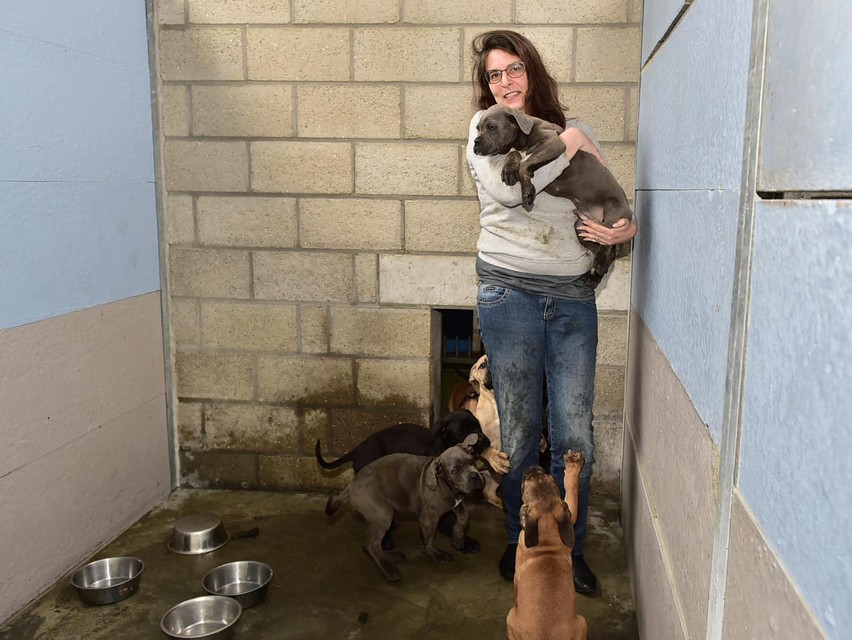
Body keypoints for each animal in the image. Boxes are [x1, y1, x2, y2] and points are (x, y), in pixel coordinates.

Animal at [324, 436, 486, 580]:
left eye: (473, 462)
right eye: (455, 471)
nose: (474, 476)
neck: (445, 484)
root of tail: (350, 486)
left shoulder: (456, 504)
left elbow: (464, 517)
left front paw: (458, 539)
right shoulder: (428, 520)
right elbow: (429, 541)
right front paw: (436, 555)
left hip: (374, 518)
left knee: (369, 544)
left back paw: (390, 558)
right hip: (383, 515)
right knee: (372, 545)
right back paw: (389, 570)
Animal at [472, 104, 632, 288]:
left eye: (491, 126)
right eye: (477, 128)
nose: (475, 142)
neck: (524, 136)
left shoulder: (554, 143)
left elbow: (525, 163)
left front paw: (527, 189)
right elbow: (516, 154)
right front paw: (509, 170)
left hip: (612, 210)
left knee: (607, 243)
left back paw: (598, 264)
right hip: (582, 228)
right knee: (608, 251)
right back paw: (595, 275)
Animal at [506, 450, 584, 640]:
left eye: (527, 481)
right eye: (550, 477)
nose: (534, 465)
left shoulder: (516, 577)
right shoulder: (567, 513)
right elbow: (571, 488)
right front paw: (573, 467)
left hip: (509, 616)